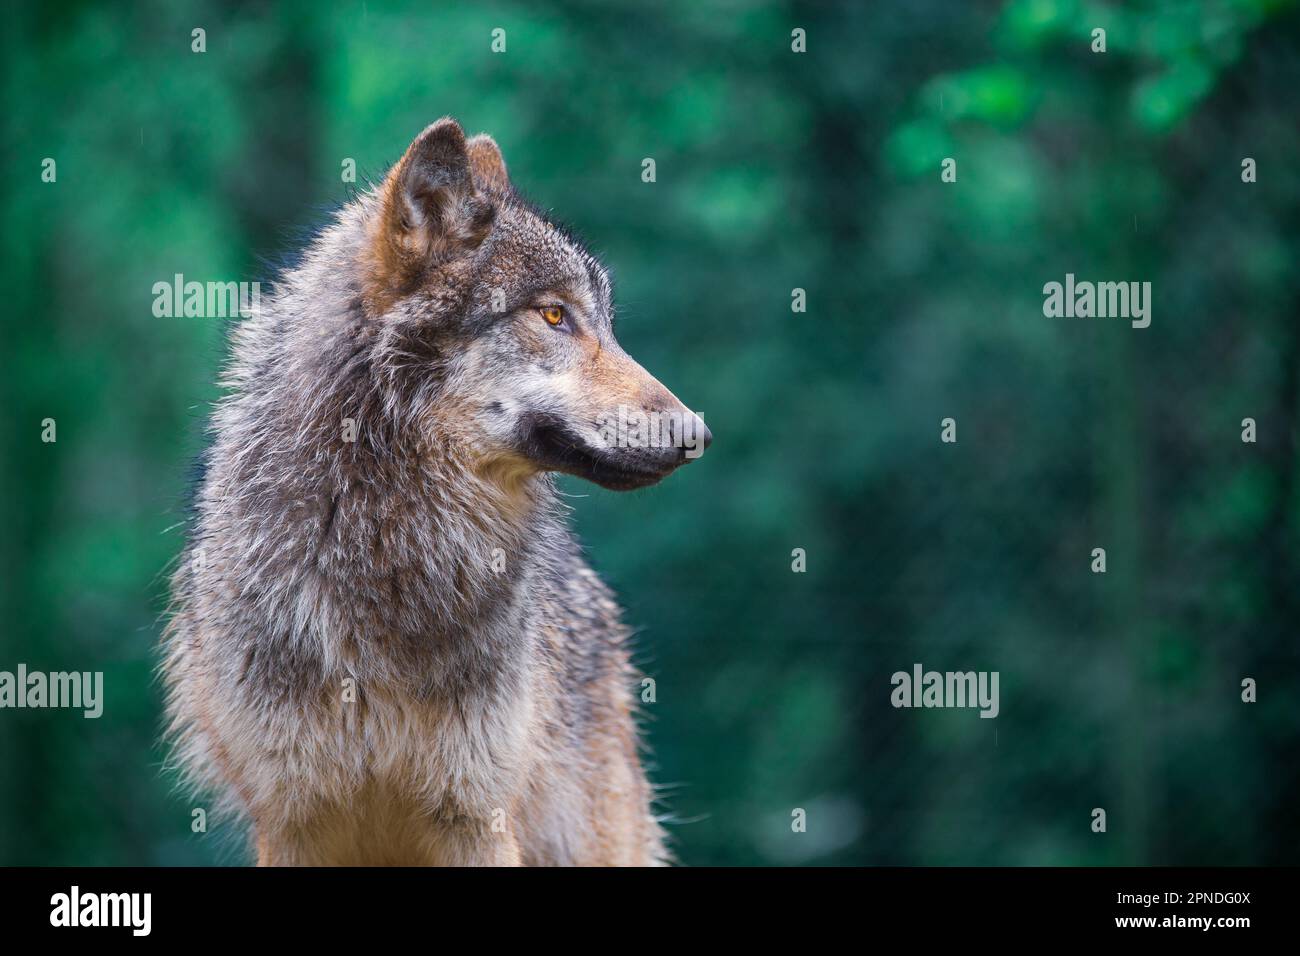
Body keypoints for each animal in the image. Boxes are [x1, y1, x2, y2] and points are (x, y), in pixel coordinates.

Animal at [162, 118, 711, 866]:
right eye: (553, 316)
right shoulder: (295, 820)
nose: (697, 432)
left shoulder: (475, 816)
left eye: (603, 322)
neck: (385, 545)